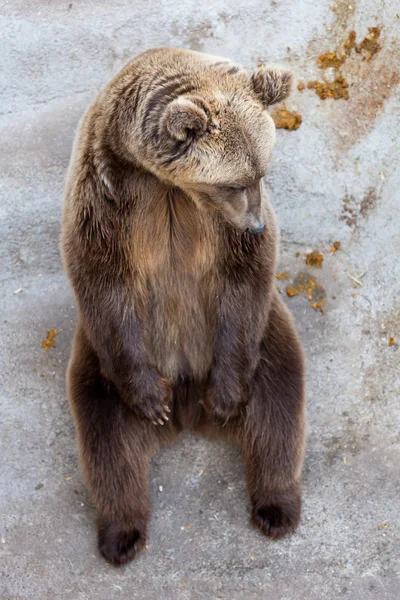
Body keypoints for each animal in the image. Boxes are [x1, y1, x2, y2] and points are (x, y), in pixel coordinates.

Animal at [60, 48, 306, 568]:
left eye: (261, 174)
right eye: (233, 183)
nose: (255, 225)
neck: (166, 186)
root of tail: (189, 408)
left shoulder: (216, 233)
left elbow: (244, 275)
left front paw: (227, 399)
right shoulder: (107, 199)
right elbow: (102, 279)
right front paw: (151, 401)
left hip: (267, 338)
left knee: (278, 409)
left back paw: (275, 507)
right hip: (96, 364)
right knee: (106, 439)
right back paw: (122, 532)